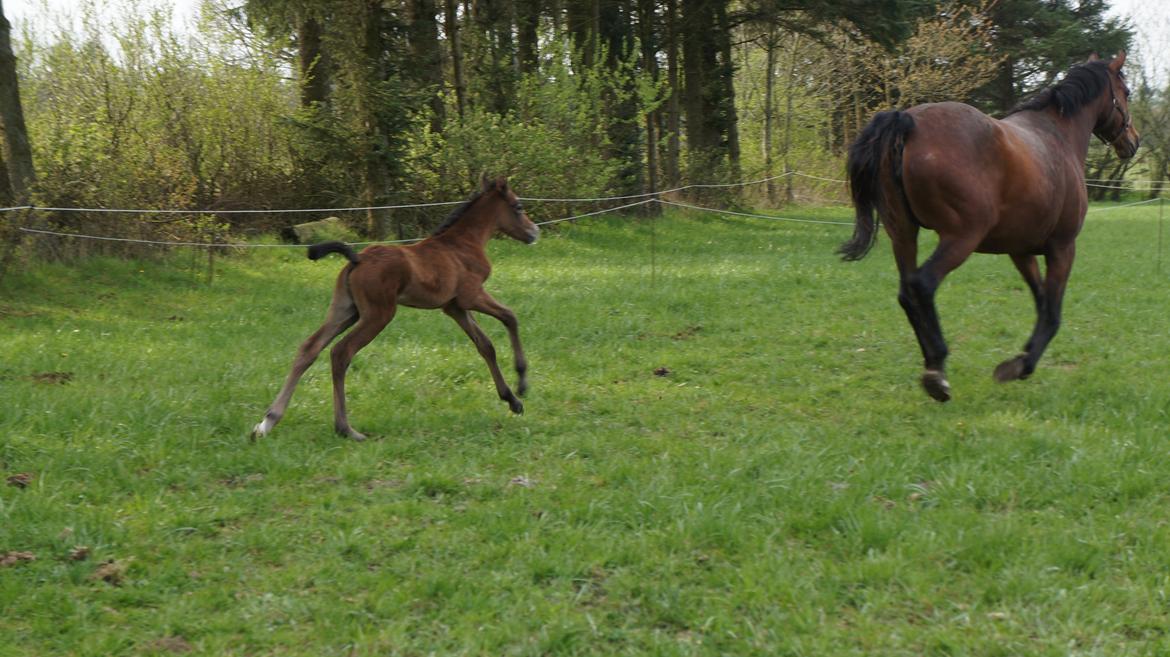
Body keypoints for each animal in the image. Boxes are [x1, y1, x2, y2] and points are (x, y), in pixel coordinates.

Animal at [253, 176, 540, 437]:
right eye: (518, 206)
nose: (535, 232)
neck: (462, 244)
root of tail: (356, 260)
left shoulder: (454, 307)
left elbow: (485, 346)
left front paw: (512, 400)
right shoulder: (472, 296)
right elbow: (510, 317)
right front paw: (522, 383)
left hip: (345, 310)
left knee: (309, 348)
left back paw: (267, 423)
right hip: (378, 314)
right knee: (341, 352)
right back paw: (346, 429)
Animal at [842, 52, 1141, 399]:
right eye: (1126, 92)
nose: (1134, 141)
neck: (1057, 135)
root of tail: (908, 121)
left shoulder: (1021, 252)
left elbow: (1041, 302)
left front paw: (1022, 357)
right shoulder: (1063, 248)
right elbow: (1053, 314)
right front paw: (1020, 366)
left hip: (903, 235)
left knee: (906, 293)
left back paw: (931, 365)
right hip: (961, 237)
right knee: (922, 284)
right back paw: (937, 371)